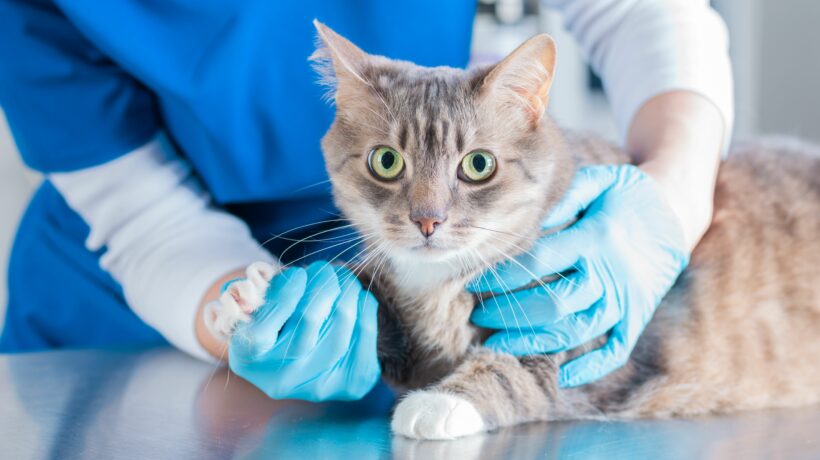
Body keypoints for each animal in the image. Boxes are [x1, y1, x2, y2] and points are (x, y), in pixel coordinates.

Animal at [210, 20, 820, 438]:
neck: (441, 286)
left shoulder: (585, 344)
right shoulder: (411, 337)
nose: (427, 220)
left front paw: (439, 403)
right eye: (386, 161)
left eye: (478, 165)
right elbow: (376, 316)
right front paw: (262, 299)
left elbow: (514, 370)